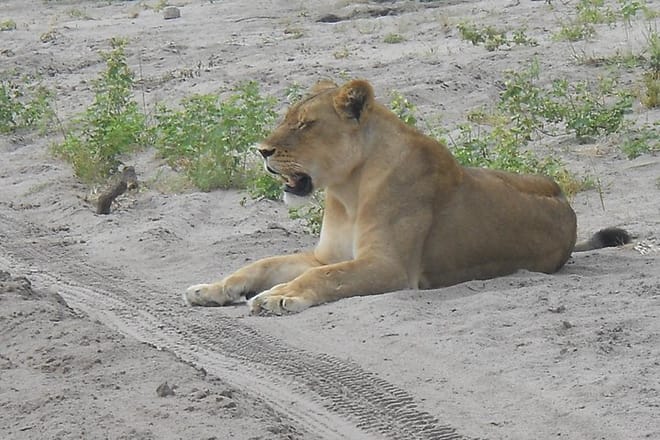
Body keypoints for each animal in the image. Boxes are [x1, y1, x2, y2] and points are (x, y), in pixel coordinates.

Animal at [184, 79, 630, 315]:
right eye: (286, 119)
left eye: (306, 124)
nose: (262, 151)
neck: (347, 191)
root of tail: (566, 203)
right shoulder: (325, 255)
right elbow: (261, 263)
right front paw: (211, 289)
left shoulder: (390, 267)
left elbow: (323, 277)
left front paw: (280, 296)